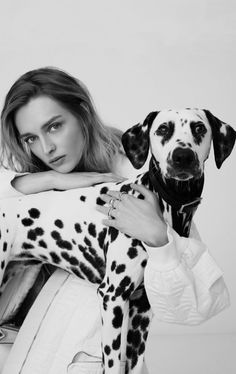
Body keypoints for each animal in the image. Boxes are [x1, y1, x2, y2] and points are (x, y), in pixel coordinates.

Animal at [0, 109, 235, 374]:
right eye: (163, 129)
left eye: (199, 128)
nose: (182, 156)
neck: (167, 204)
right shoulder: (113, 297)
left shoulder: (141, 311)